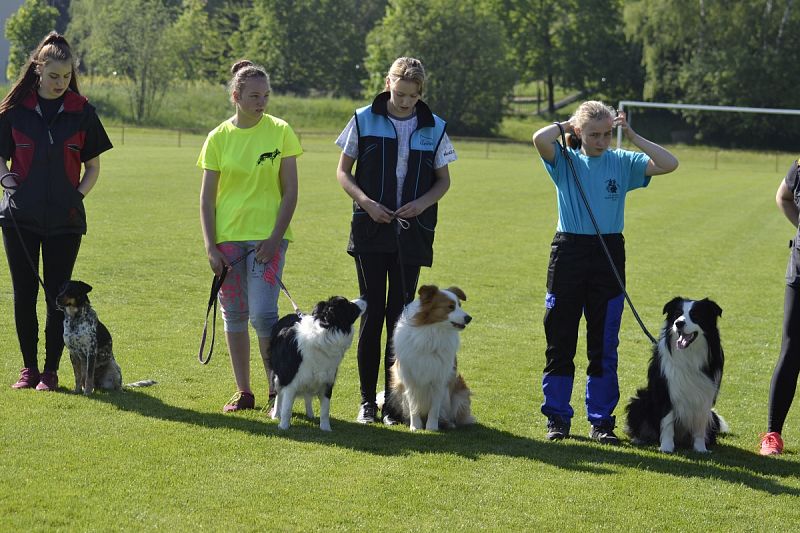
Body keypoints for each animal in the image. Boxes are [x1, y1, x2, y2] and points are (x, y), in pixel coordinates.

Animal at [268, 298, 368, 430]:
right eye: (349, 304)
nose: (364, 299)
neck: (326, 332)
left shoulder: (327, 380)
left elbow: (325, 410)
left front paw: (326, 429)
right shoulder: (290, 380)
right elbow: (287, 408)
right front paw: (283, 426)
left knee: (307, 396)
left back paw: (310, 413)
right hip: (278, 376)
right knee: (279, 395)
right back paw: (276, 414)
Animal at [624, 298, 732, 450]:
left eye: (695, 315)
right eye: (677, 314)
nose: (678, 323)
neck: (689, 354)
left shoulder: (705, 392)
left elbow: (700, 425)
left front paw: (700, 448)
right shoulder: (666, 390)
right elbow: (667, 421)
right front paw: (667, 447)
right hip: (640, 400)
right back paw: (640, 438)